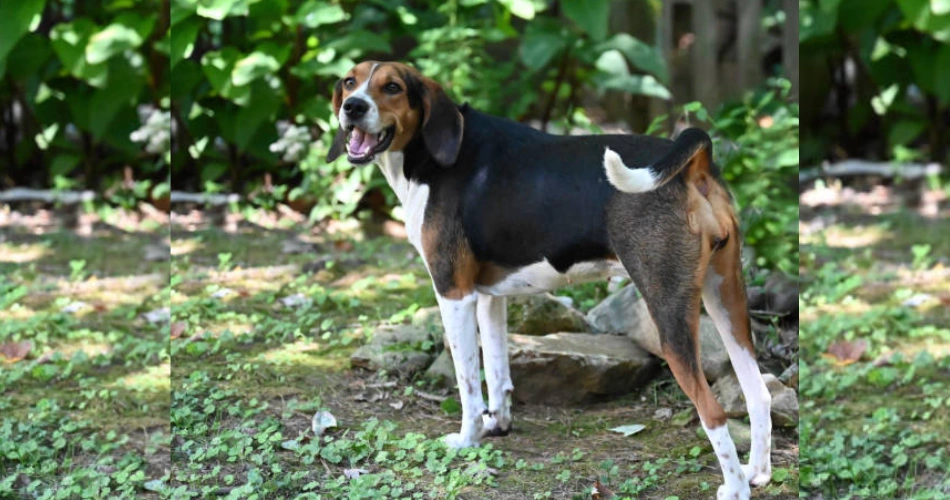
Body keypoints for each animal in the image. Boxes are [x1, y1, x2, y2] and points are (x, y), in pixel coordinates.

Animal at [328, 60, 772, 498]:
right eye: (350, 82)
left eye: (393, 87)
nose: (353, 107)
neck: (428, 158)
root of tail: (693, 163)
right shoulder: (488, 297)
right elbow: (497, 371)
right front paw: (497, 425)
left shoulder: (454, 295)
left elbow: (468, 384)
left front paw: (468, 439)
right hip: (726, 301)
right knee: (758, 393)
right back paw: (757, 473)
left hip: (670, 315)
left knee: (713, 412)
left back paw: (735, 487)